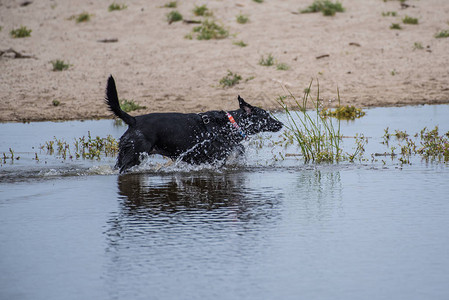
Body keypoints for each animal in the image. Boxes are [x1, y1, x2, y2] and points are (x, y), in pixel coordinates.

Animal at [105, 76, 282, 172]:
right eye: (266, 115)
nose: (280, 124)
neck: (230, 125)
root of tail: (133, 120)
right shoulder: (216, 154)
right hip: (134, 155)